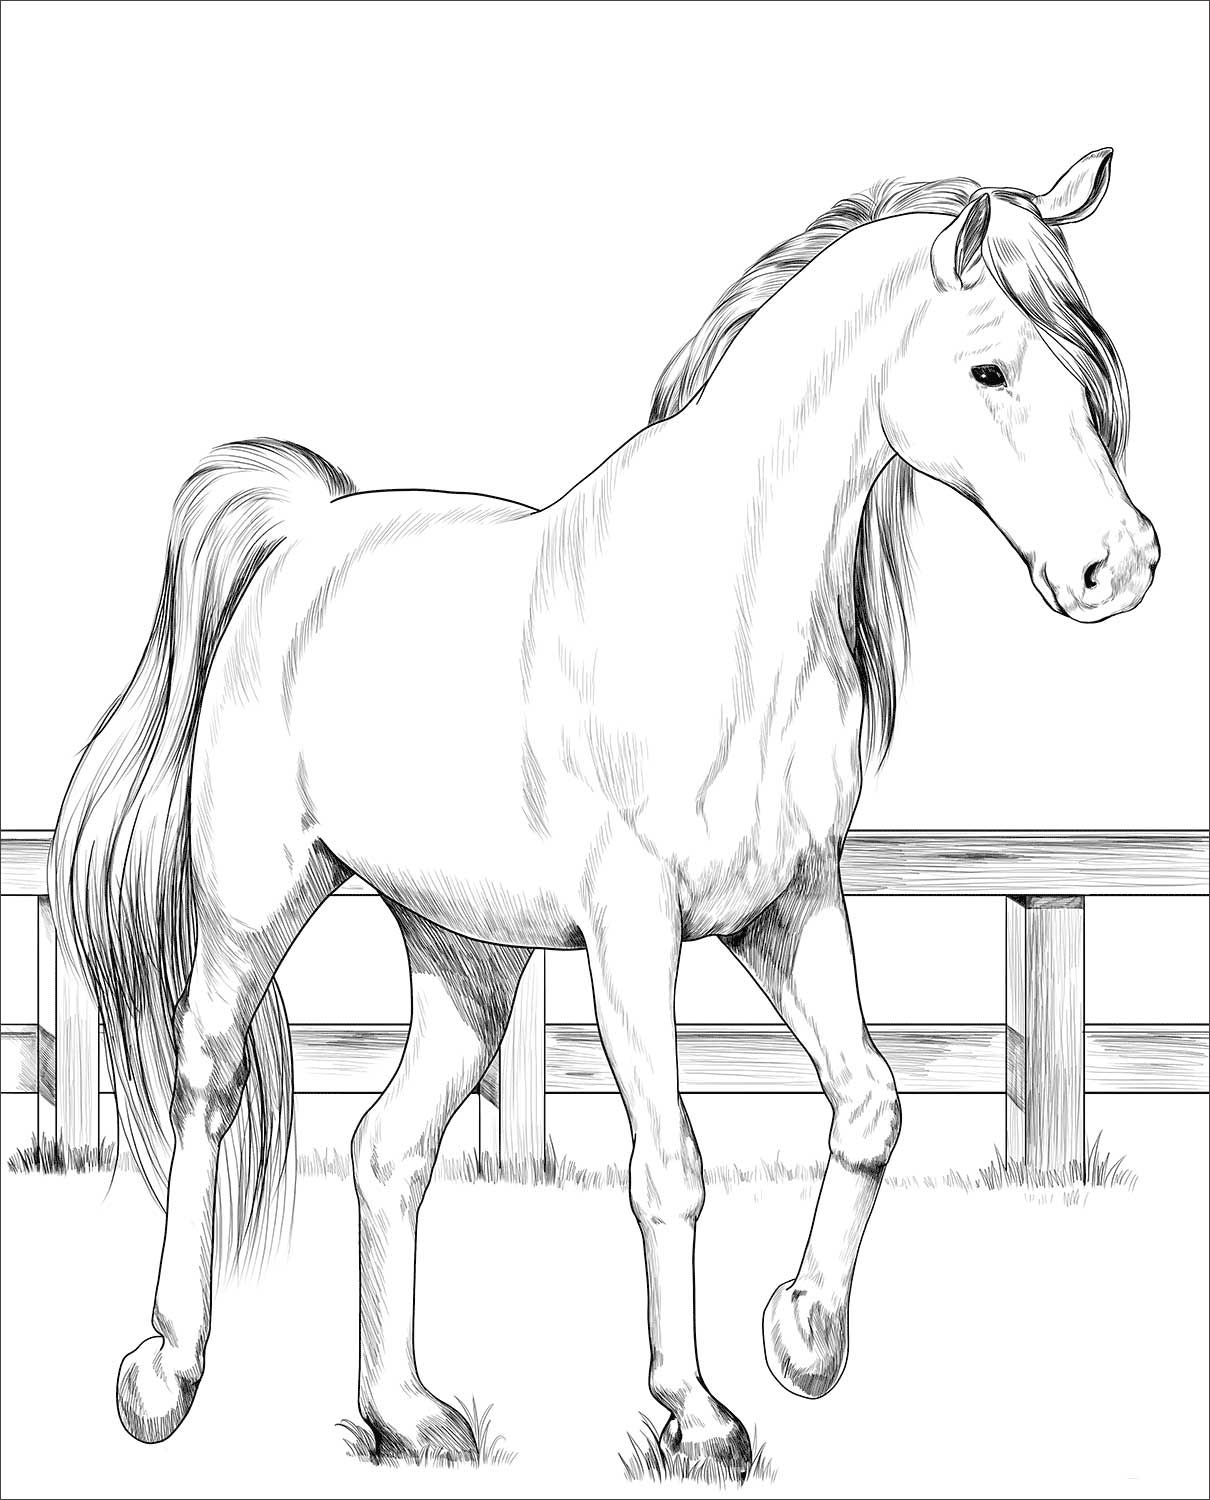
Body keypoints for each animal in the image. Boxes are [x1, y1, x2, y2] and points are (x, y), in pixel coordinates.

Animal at [50, 148, 1157, 1466]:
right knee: (210, 1087)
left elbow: (869, 1101)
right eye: (989, 368)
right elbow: (668, 1163)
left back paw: (409, 1413)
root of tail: (305, 537)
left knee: (389, 1149)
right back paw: (164, 1374)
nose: (1118, 566)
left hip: (466, 957)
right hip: (255, 903)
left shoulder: (787, 905)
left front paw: (803, 1337)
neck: (723, 609)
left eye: (1092, 365)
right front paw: (701, 1412)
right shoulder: (634, 929)